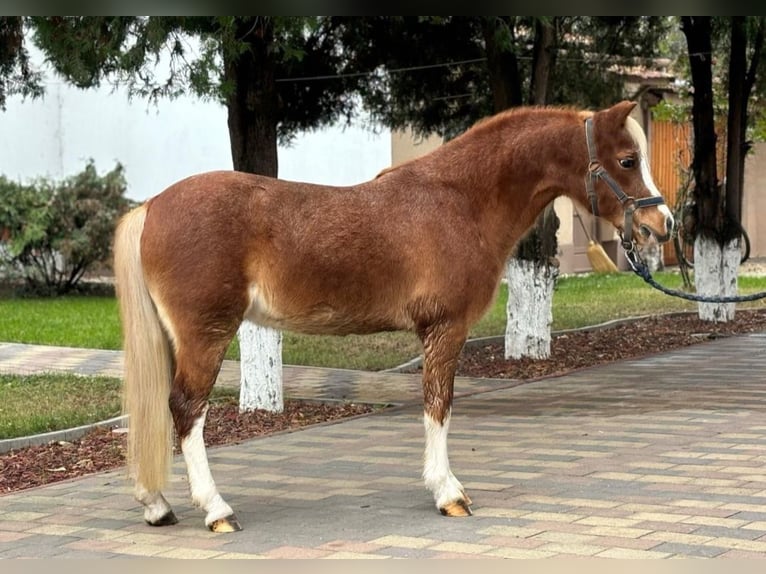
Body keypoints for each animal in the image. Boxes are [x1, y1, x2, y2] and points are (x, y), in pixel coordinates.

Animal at [112, 100, 672, 536]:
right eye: (627, 159)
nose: (661, 224)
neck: (460, 200)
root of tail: (152, 206)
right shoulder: (446, 329)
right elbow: (439, 406)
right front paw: (449, 494)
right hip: (206, 334)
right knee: (187, 409)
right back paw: (216, 510)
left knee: (160, 407)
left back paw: (157, 505)